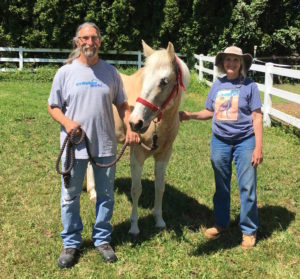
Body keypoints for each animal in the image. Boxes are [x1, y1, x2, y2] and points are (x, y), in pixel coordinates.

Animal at [86, 40, 190, 236]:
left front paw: (159, 220)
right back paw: (93, 192)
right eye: (144, 77)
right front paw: (134, 227)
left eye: (164, 81)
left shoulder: (164, 156)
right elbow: (136, 189)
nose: (135, 123)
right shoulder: (137, 155)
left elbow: (160, 187)